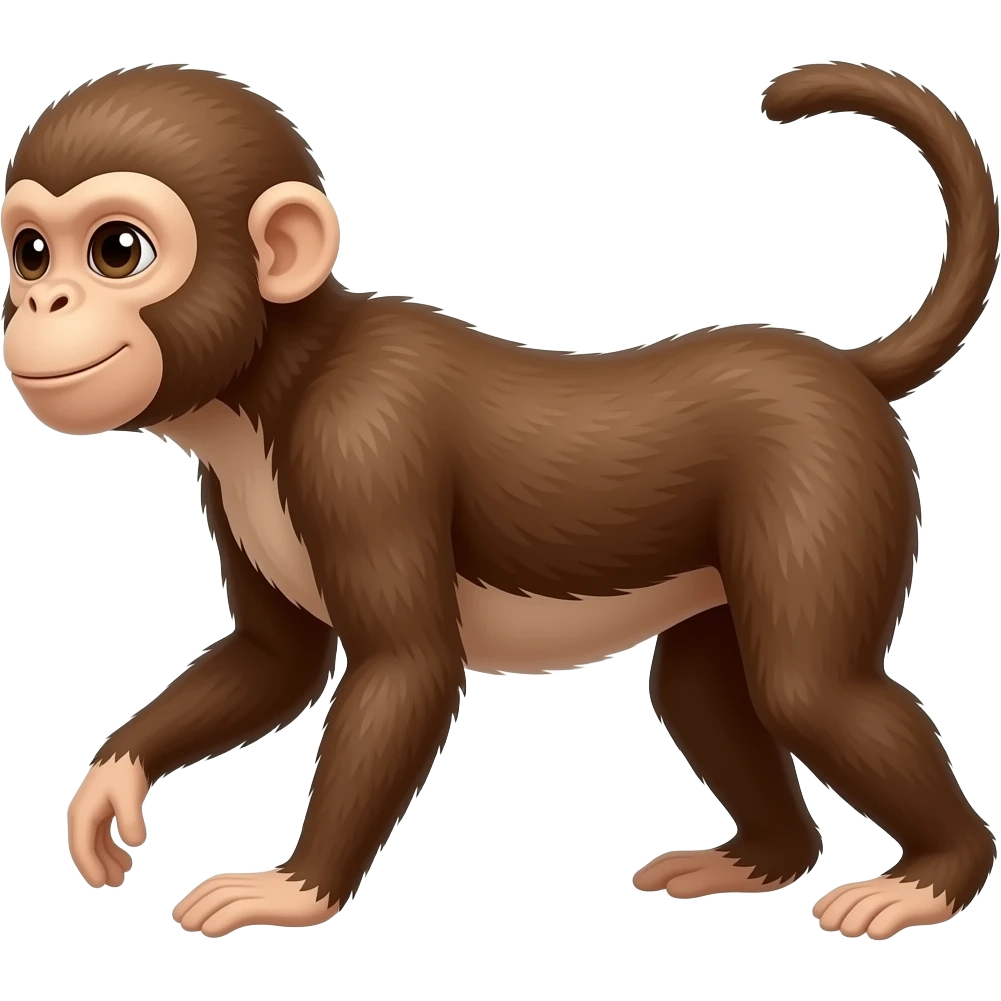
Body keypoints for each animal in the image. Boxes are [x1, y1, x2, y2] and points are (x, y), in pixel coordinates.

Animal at [2, 60, 996, 942]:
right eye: (31, 252)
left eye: (118, 250)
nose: (40, 303)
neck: (274, 382)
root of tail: (842, 368)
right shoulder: (230, 484)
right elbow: (273, 664)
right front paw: (111, 782)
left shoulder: (361, 445)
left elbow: (406, 665)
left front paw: (295, 889)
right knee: (702, 693)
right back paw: (761, 858)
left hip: (822, 476)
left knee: (807, 688)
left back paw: (933, 876)